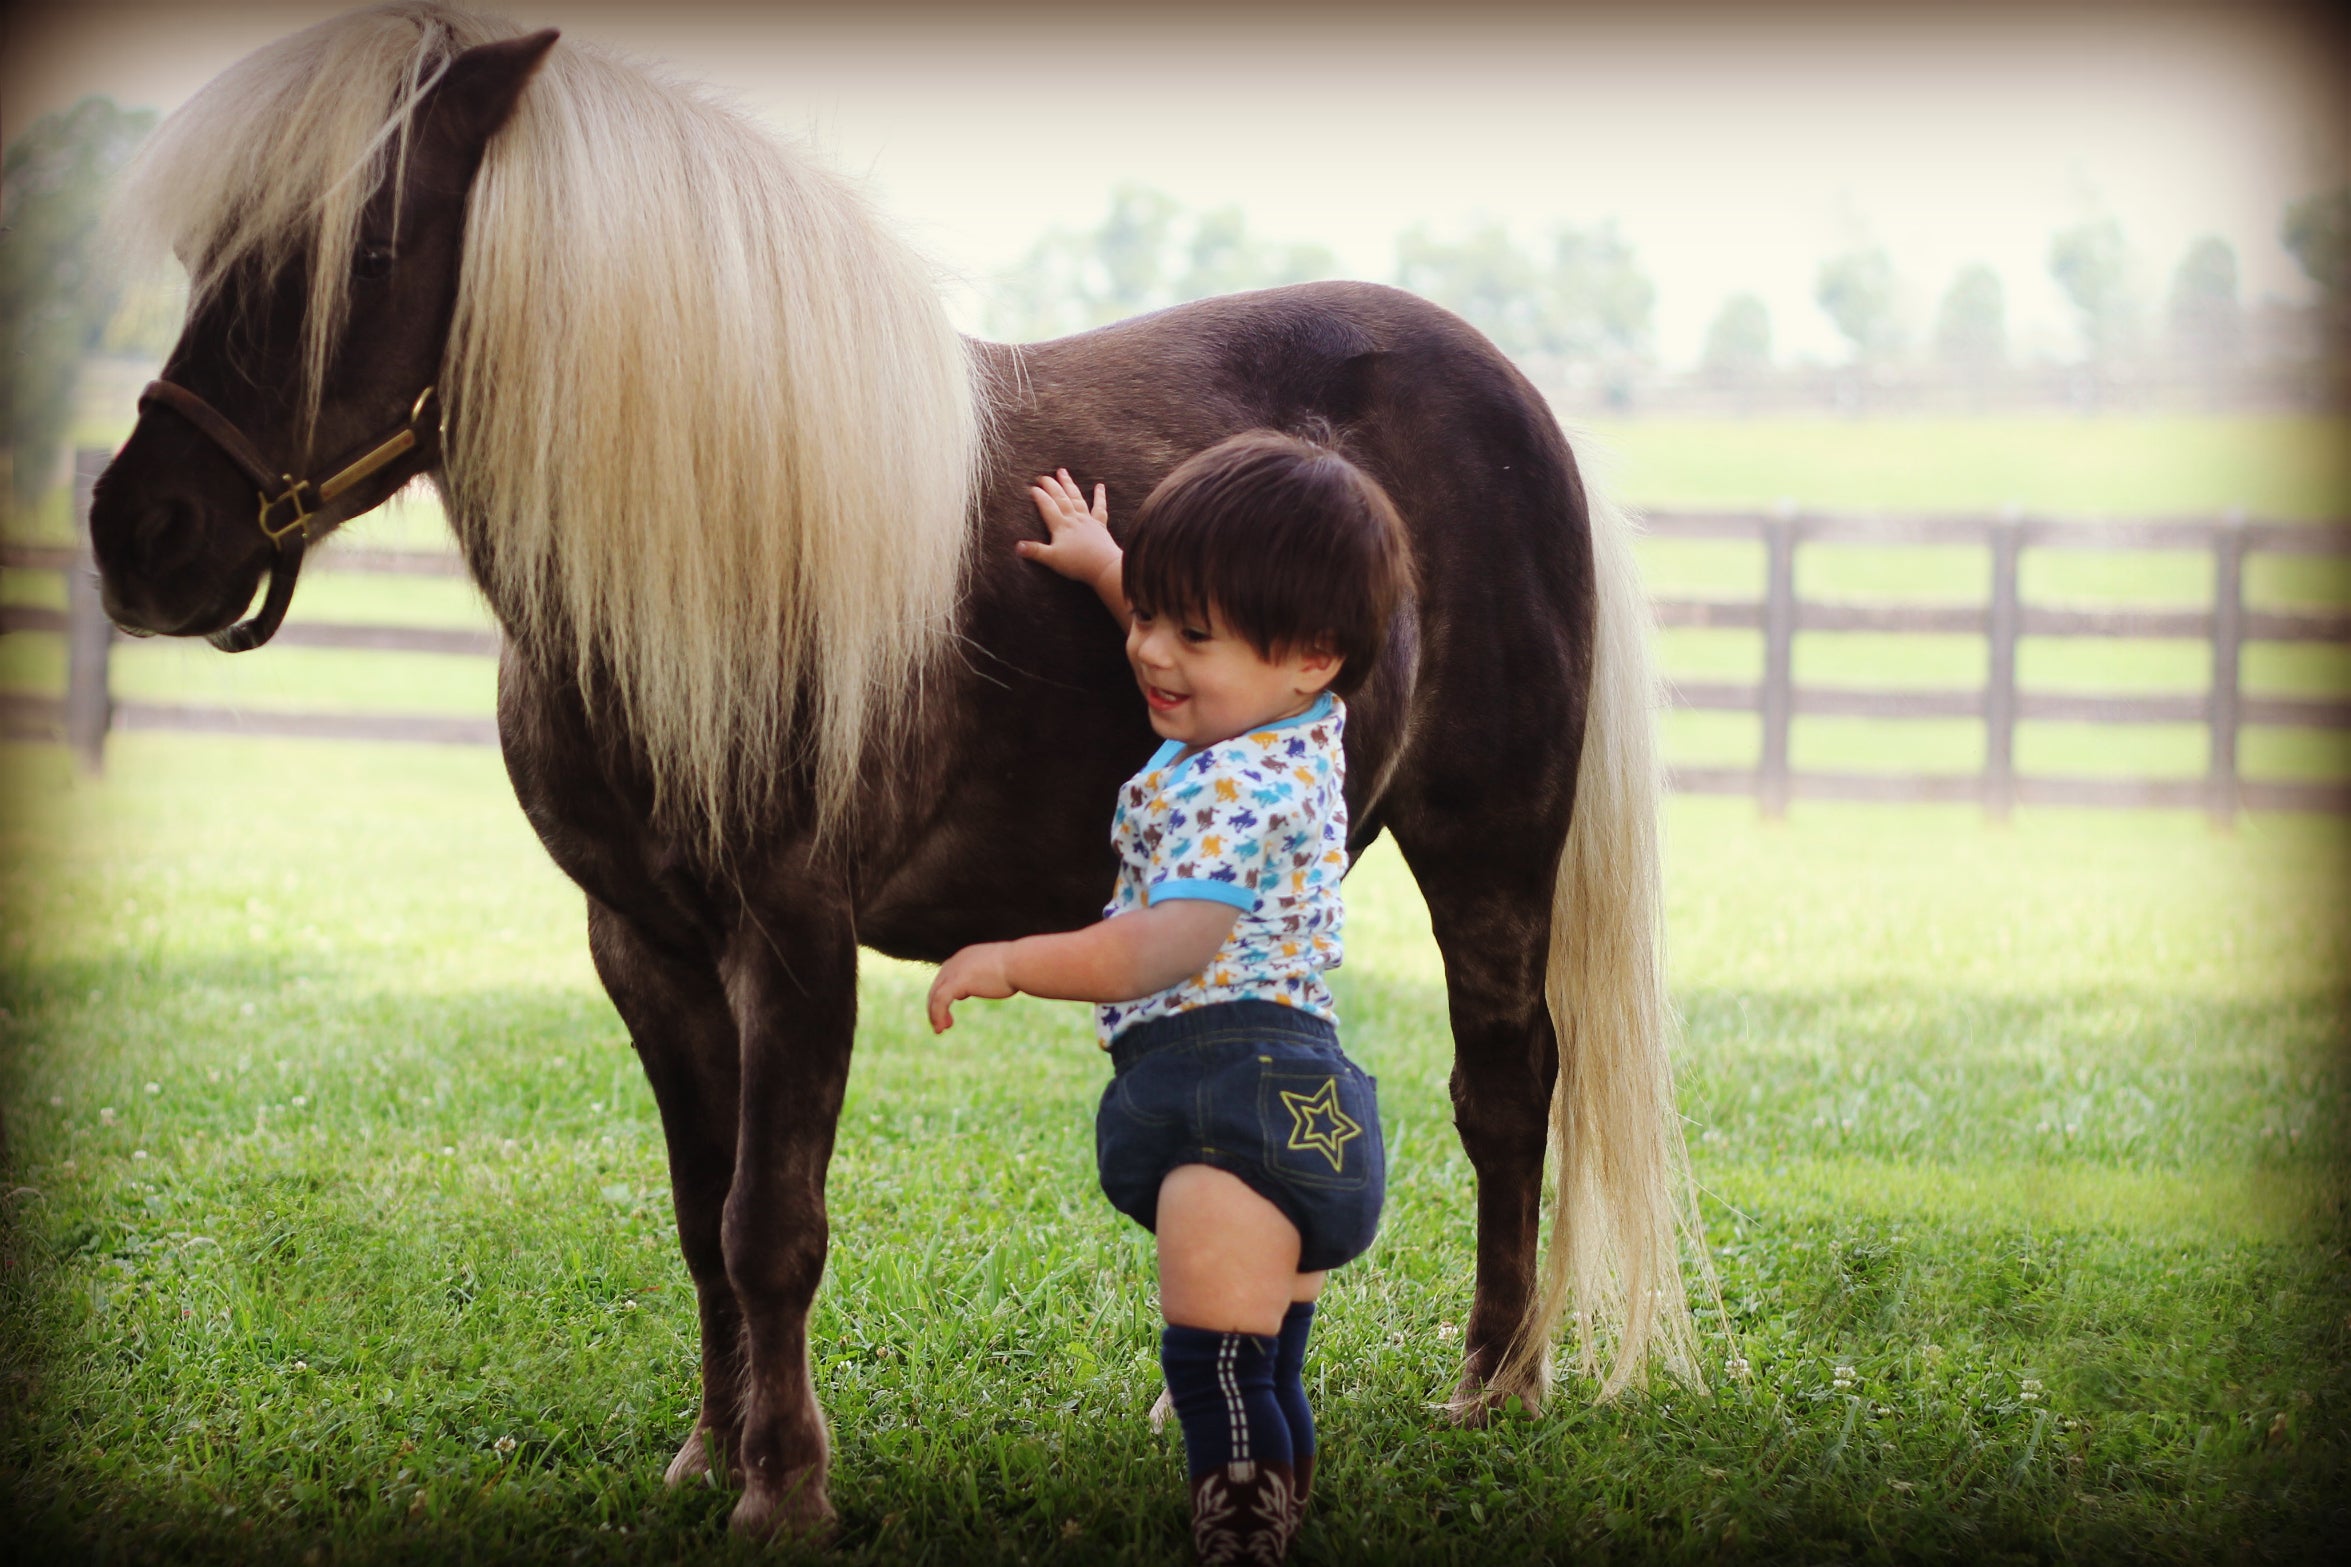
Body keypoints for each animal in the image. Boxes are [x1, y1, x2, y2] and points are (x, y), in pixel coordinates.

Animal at [87, 3, 1701, 1539]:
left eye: (362, 252)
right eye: (209, 254)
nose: (140, 534)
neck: (720, 549)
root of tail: (1520, 399)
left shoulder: (792, 936)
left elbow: (772, 1222)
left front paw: (785, 1485)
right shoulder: (640, 943)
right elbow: (702, 1214)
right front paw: (708, 1449)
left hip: (1488, 844)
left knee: (1504, 1084)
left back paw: (1494, 1383)